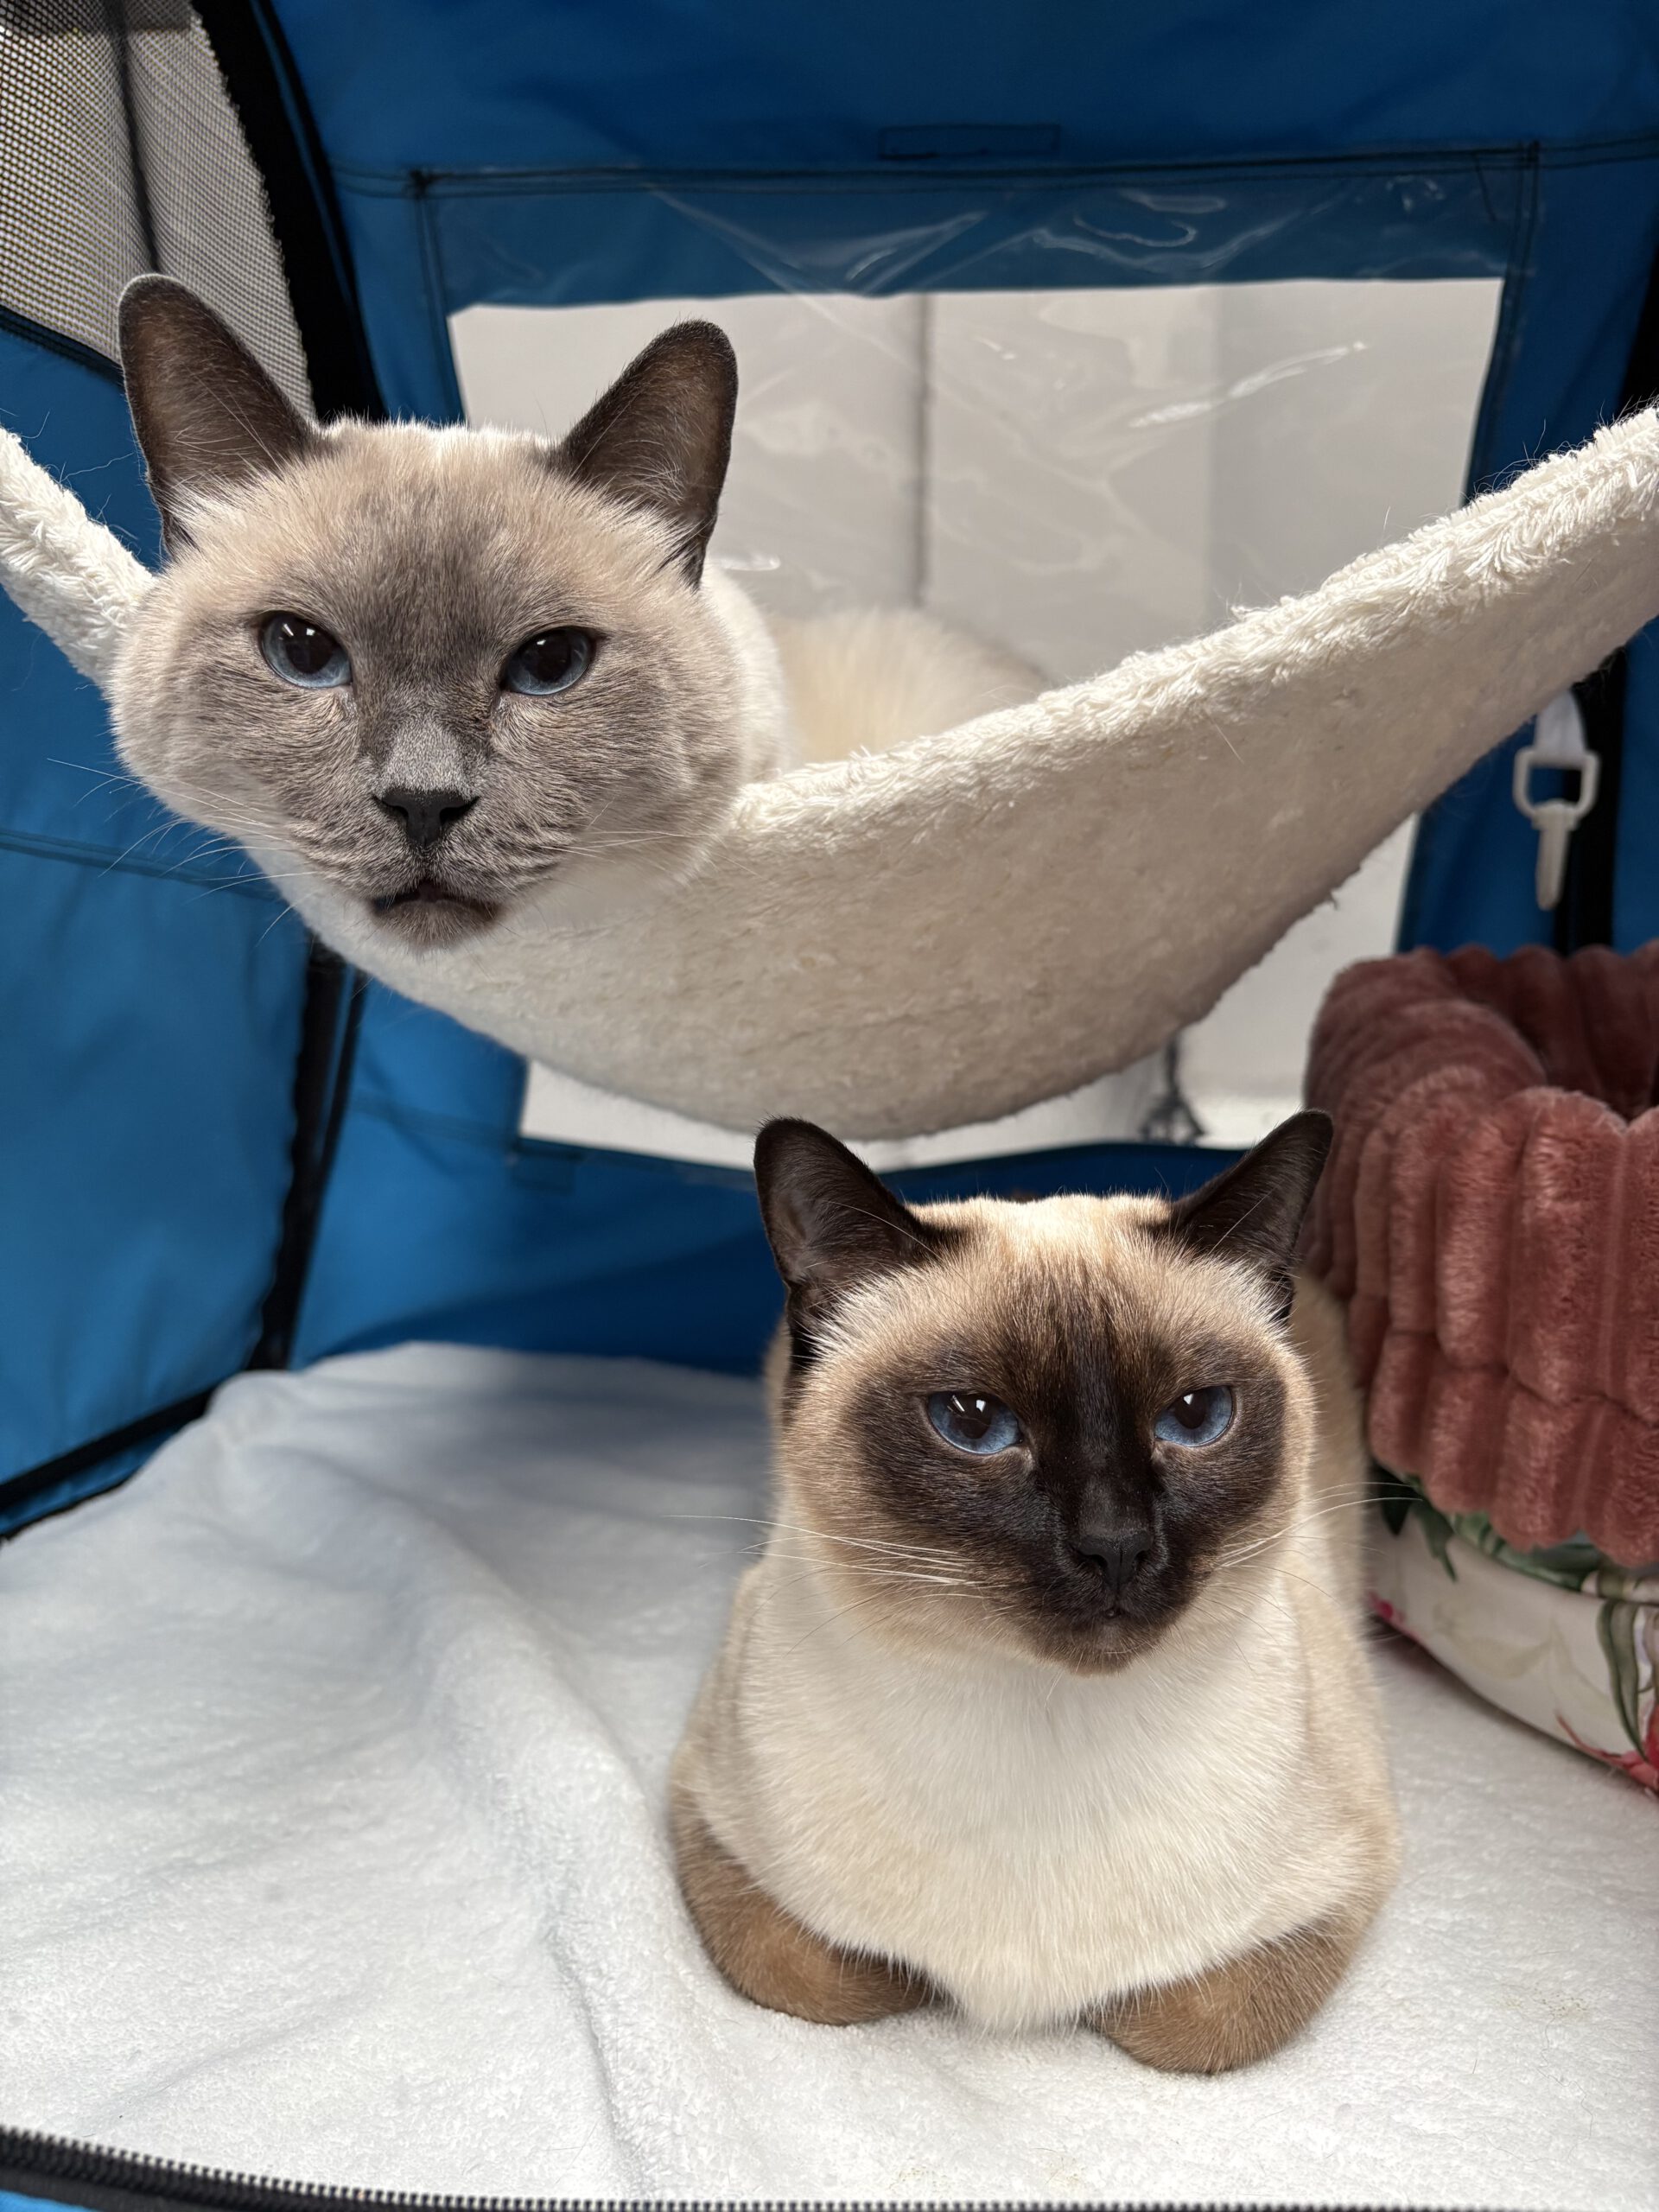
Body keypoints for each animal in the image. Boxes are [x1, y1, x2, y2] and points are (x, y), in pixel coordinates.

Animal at [672, 1112, 1400, 2073]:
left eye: (1195, 1416)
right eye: (973, 1422)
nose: (1115, 1545)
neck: (1046, 1716)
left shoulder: (1342, 1882)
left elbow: (1184, 2021)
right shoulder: (706, 1818)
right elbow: (820, 1973)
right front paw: (917, 1983)